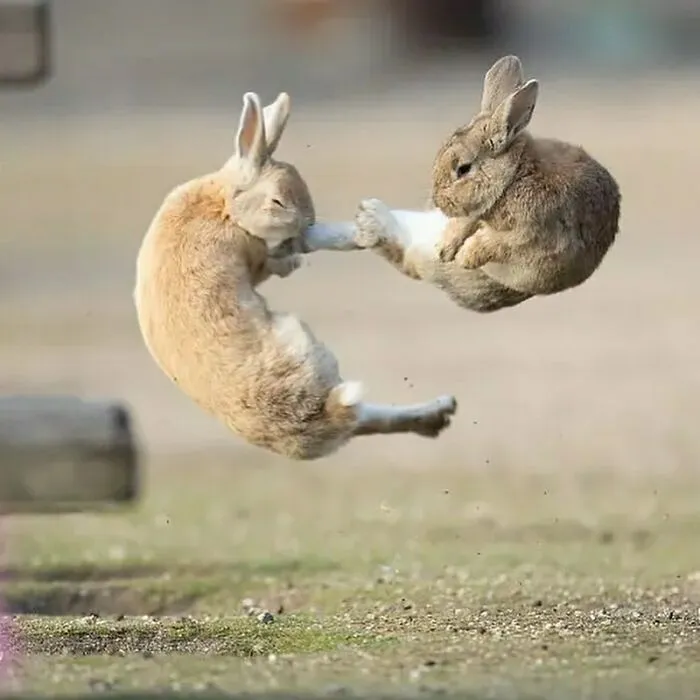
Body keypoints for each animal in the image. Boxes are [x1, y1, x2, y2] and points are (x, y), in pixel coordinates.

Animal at [134, 91, 457, 461]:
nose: (305, 224)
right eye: (277, 201)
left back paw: (439, 412)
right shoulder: (258, 254)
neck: (225, 205)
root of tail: (322, 415)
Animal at [303, 55, 620, 312]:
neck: (513, 177)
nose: (437, 201)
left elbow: (492, 243)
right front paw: (447, 248)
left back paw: (367, 221)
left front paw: (464, 257)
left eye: (463, 169)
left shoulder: (528, 234)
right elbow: (463, 226)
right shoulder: (472, 214)